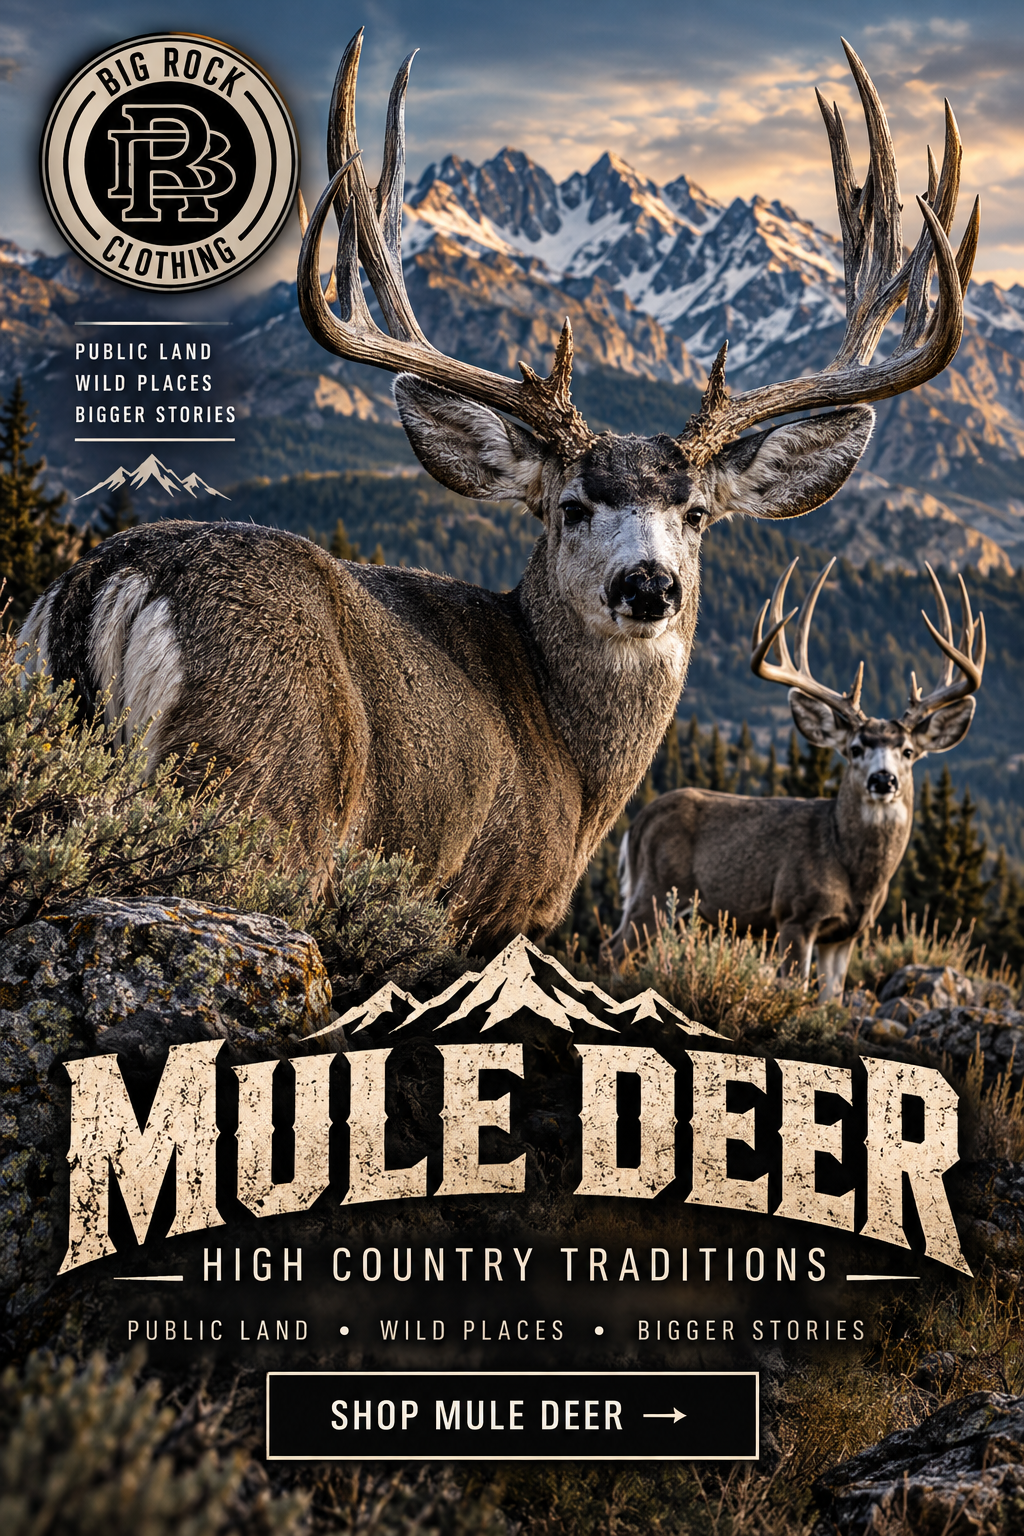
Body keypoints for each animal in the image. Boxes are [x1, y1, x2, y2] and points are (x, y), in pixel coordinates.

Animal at [18, 32, 979, 951]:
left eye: (699, 513)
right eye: (571, 506)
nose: (649, 585)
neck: (575, 768)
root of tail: (117, 581)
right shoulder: (495, 900)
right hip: (258, 792)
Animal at [612, 558, 986, 998]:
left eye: (908, 752)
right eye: (854, 749)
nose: (883, 780)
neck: (854, 873)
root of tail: (638, 823)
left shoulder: (844, 935)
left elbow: (830, 999)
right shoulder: (795, 914)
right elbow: (793, 988)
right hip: (654, 892)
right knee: (614, 950)